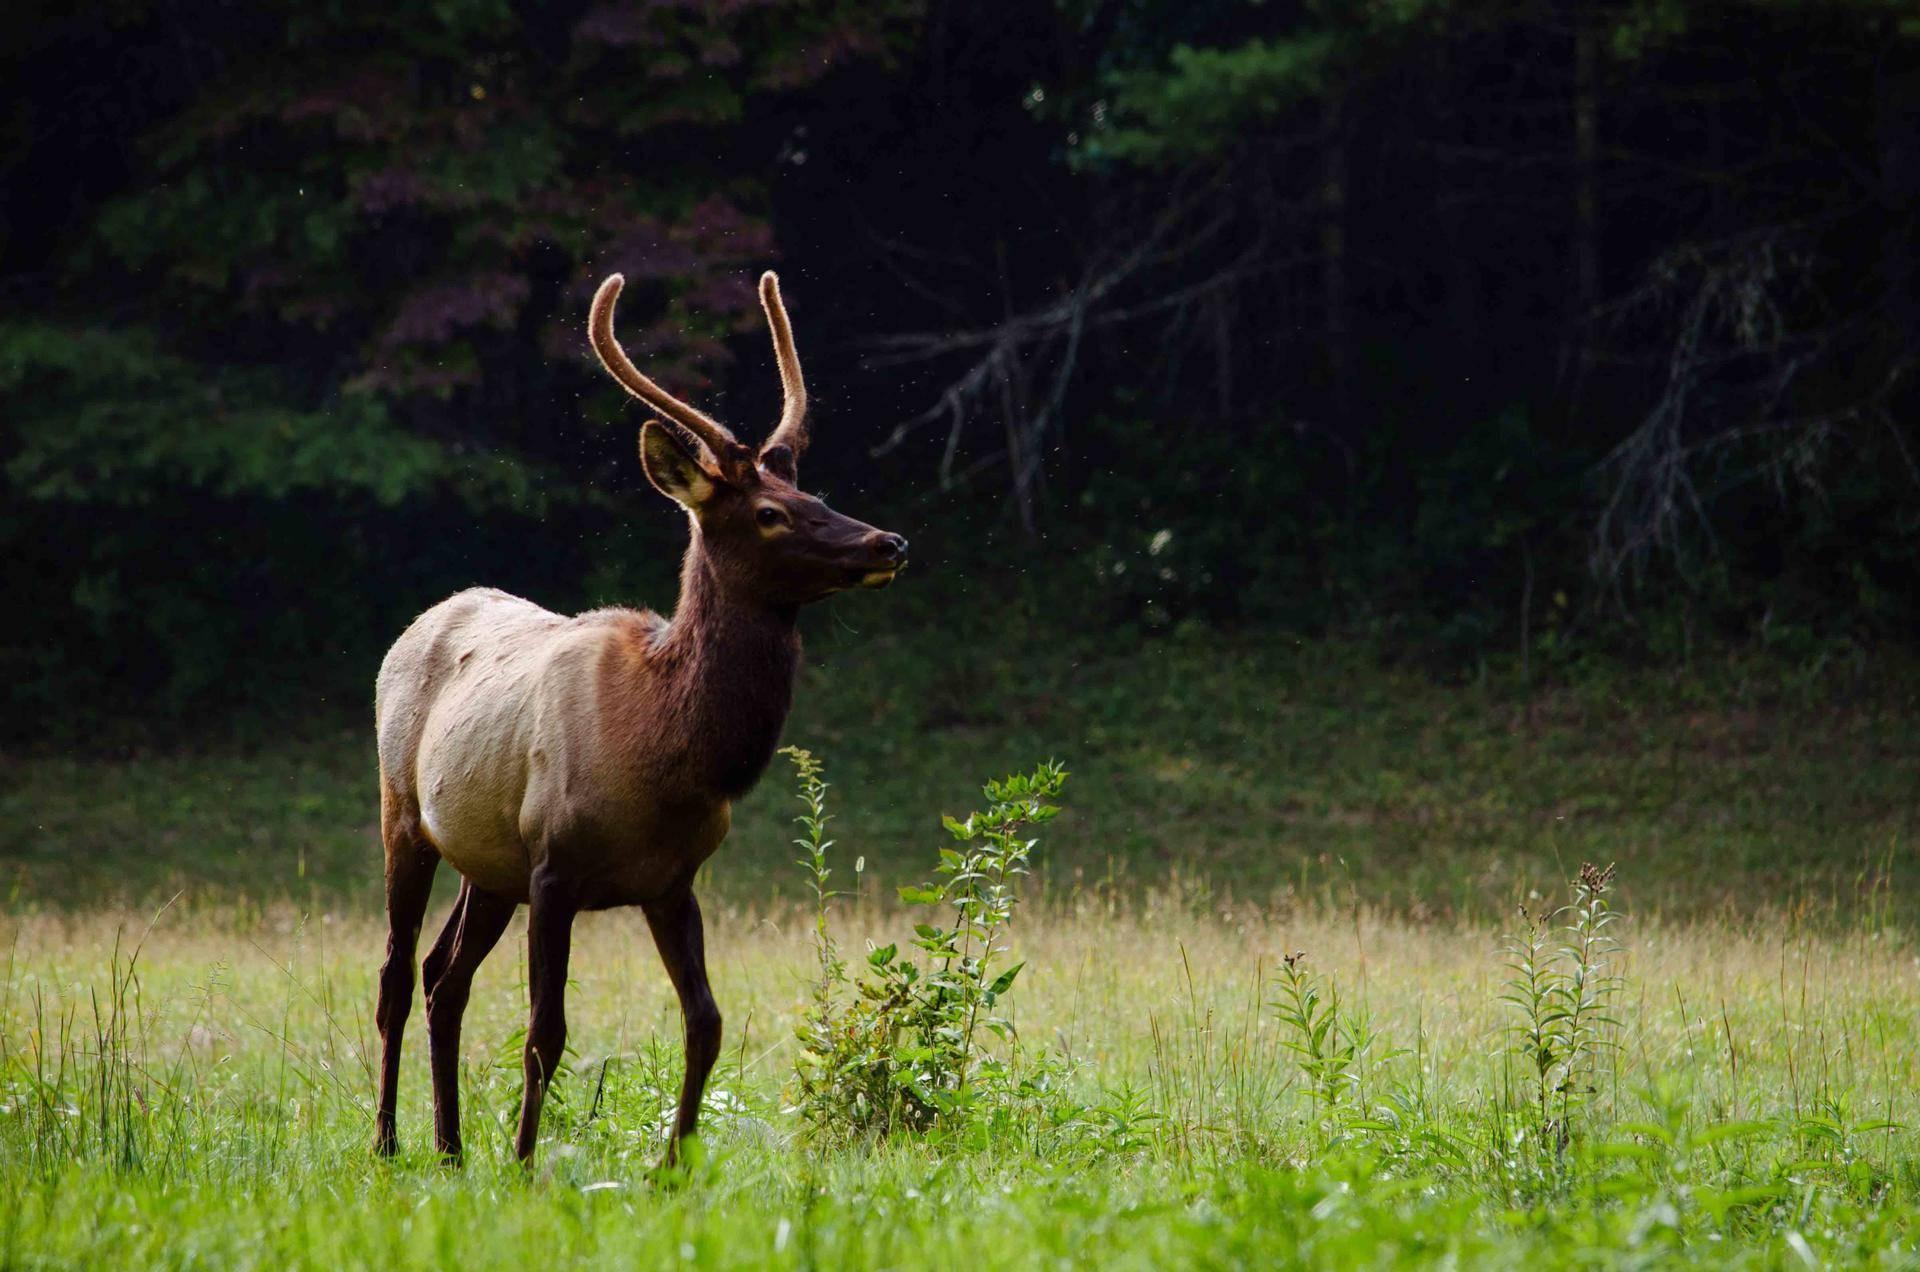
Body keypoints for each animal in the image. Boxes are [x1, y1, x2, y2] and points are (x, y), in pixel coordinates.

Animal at [376, 274, 913, 1168]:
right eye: (769, 513)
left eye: (815, 494)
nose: (888, 542)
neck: (665, 753)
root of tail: (419, 621)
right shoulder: (554, 864)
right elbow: (544, 1033)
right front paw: (524, 1163)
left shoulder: (672, 880)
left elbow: (707, 1023)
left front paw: (675, 1162)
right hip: (404, 816)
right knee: (393, 974)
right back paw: (388, 1142)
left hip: (489, 865)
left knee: (442, 977)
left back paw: (450, 1148)